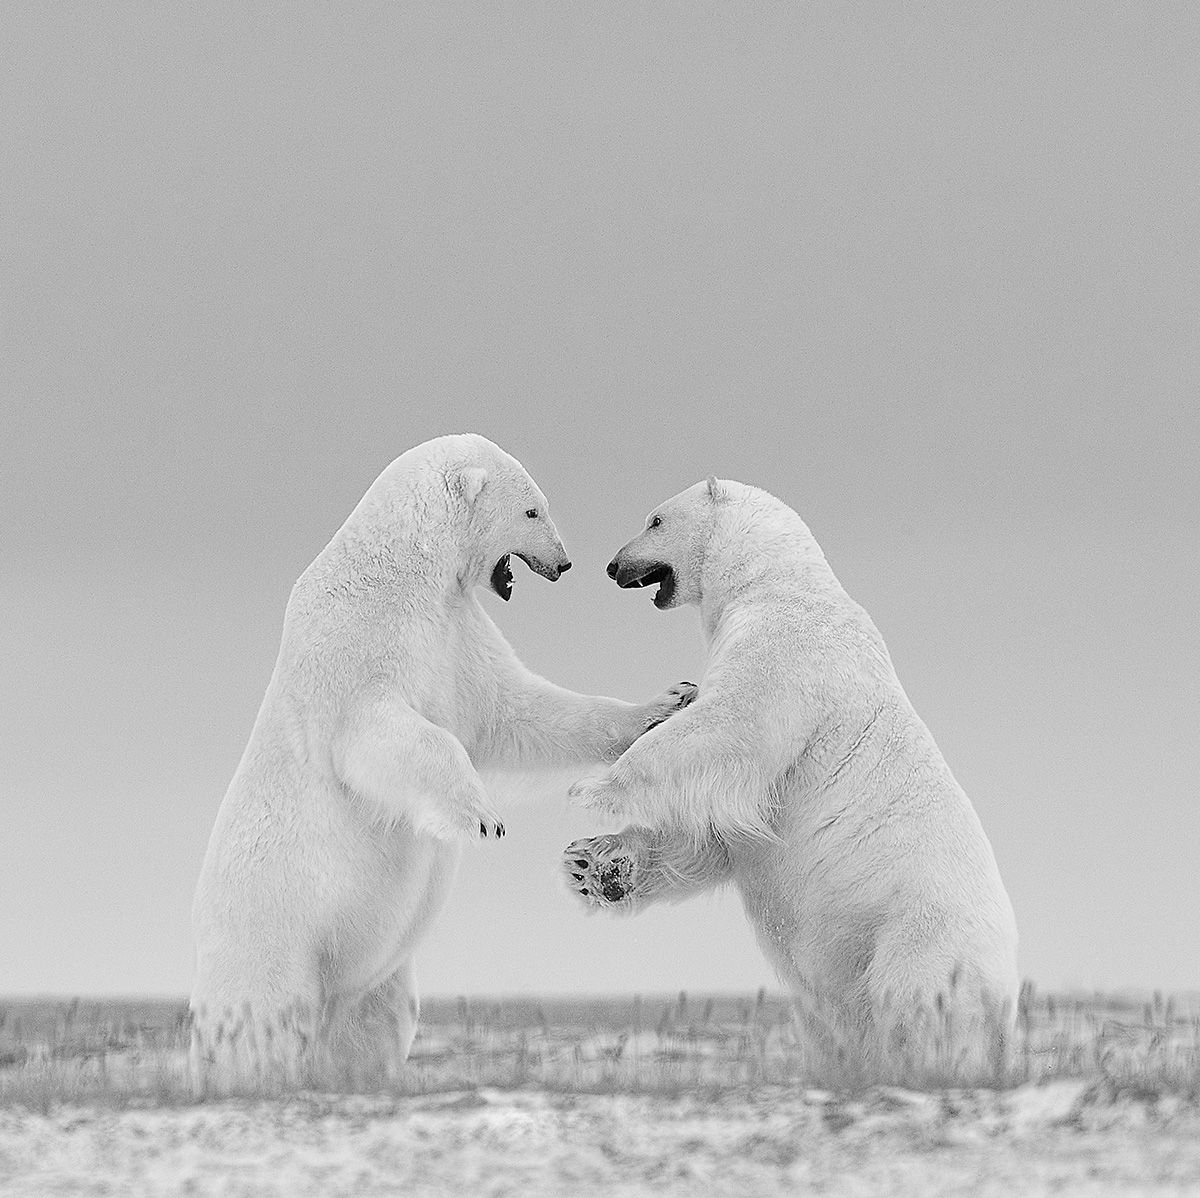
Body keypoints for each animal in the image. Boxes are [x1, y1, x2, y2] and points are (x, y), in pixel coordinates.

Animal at [187, 434, 696, 1089]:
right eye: (532, 509)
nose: (565, 563)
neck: (403, 572)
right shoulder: (358, 642)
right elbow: (385, 733)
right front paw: (484, 817)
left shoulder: (457, 633)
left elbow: (515, 711)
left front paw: (667, 703)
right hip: (273, 937)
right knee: (266, 1024)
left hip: (379, 976)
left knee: (378, 1020)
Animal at [566, 477, 1017, 1080]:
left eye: (654, 520)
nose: (613, 565)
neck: (775, 580)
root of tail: (1007, 999)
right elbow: (717, 834)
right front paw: (593, 866)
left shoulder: (786, 648)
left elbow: (732, 725)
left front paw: (594, 788)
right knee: (831, 1024)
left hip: (917, 934)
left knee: (913, 1010)